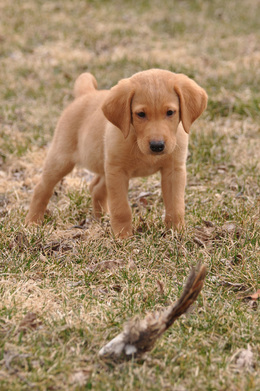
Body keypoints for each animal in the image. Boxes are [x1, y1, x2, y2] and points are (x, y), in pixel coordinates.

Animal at [25, 69, 207, 237]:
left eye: (170, 112)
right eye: (141, 114)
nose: (157, 146)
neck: (136, 140)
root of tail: (86, 94)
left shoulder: (174, 171)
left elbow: (175, 206)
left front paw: (177, 233)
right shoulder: (117, 171)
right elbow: (121, 209)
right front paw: (123, 237)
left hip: (103, 166)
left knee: (95, 188)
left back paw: (102, 218)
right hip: (62, 158)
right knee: (42, 189)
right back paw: (32, 222)